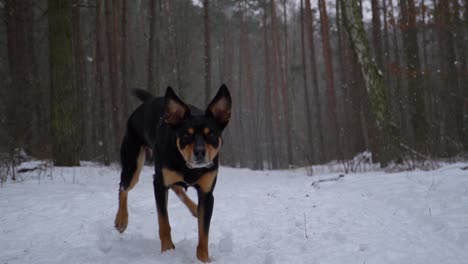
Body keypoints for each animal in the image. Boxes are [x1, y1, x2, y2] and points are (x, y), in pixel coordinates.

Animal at [113, 84, 230, 262]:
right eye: (186, 135)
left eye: (211, 134)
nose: (200, 152)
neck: (186, 165)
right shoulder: (159, 185)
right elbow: (164, 222)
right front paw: (168, 251)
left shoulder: (207, 193)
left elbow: (204, 232)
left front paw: (203, 259)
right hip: (132, 164)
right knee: (123, 187)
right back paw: (121, 219)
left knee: (177, 187)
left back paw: (194, 208)